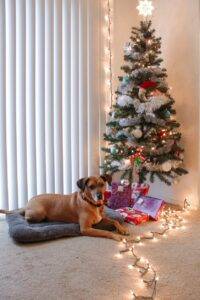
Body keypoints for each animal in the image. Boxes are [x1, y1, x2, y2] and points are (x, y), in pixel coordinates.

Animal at [0, 176, 129, 241]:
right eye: (91, 186)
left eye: (102, 184)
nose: (100, 195)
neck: (90, 203)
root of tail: (27, 204)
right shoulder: (86, 228)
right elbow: (105, 232)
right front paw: (117, 236)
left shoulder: (101, 219)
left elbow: (115, 221)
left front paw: (123, 230)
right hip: (38, 213)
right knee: (26, 217)